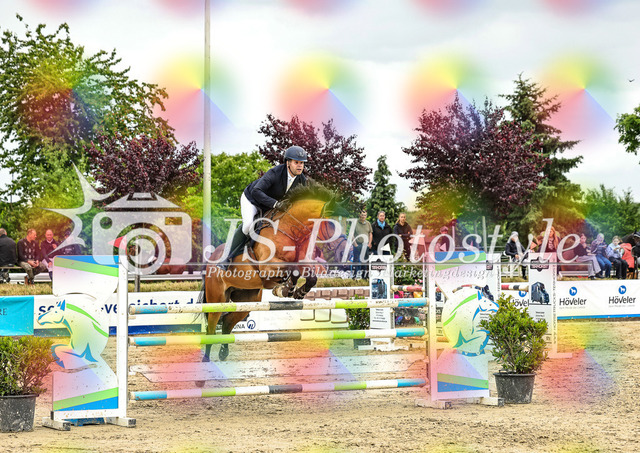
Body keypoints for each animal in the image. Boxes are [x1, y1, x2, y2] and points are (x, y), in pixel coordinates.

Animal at [201, 184, 350, 363]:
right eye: (331, 224)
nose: (345, 252)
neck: (289, 230)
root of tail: (211, 259)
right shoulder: (268, 267)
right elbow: (292, 270)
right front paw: (284, 289)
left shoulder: (302, 262)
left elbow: (310, 276)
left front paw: (296, 291)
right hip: (217, 299)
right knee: (211, 328)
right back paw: (206, 361)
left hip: (247, 299)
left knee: (228, 322)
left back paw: (223, 352)